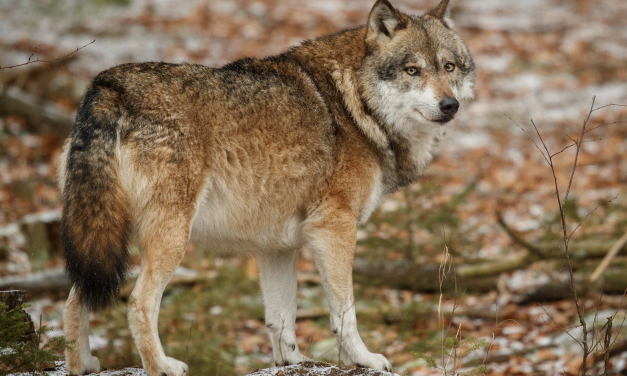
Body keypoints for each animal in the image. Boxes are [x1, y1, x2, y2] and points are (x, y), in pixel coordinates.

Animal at [60, 0, 476, 374]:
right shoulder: (335, 229)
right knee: (137, 303)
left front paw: (292, 362)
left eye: (449, 67)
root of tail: (109, 84)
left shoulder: (278, 247)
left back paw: (83, 365)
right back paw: (161, 366)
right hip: (169, 238)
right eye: (412, 70)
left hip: (103, 232)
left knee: (76, 295)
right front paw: (364, 358)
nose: (449, 105)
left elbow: (281, 317)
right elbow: (345, 312)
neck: (355, 102)